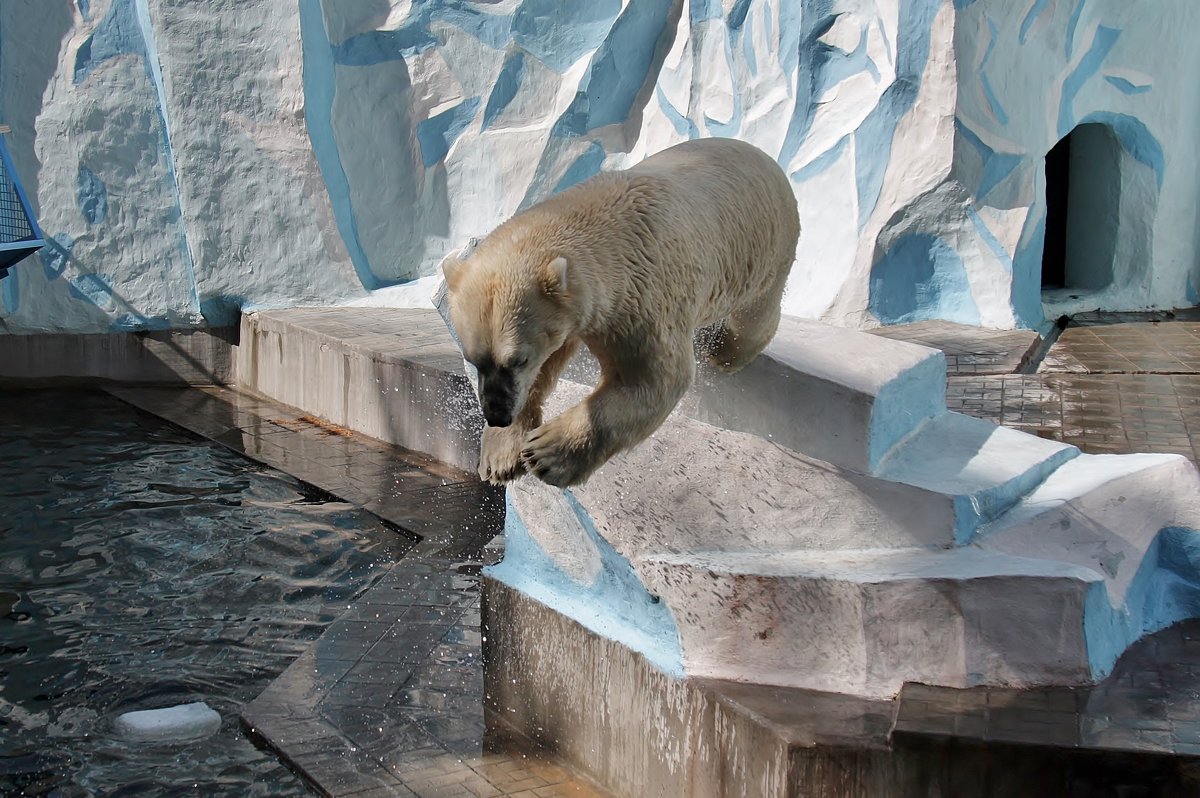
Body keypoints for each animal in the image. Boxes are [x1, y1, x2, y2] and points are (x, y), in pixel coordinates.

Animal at [441, 136, 796, 484]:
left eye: (518, 359)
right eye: (474, 359)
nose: (497, 415)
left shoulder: (642, 299)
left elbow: (650, 378)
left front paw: (547, 453)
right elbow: (547, 366)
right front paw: (500, 457)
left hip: (763, 250)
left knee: (755, 315)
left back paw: (724, 353)